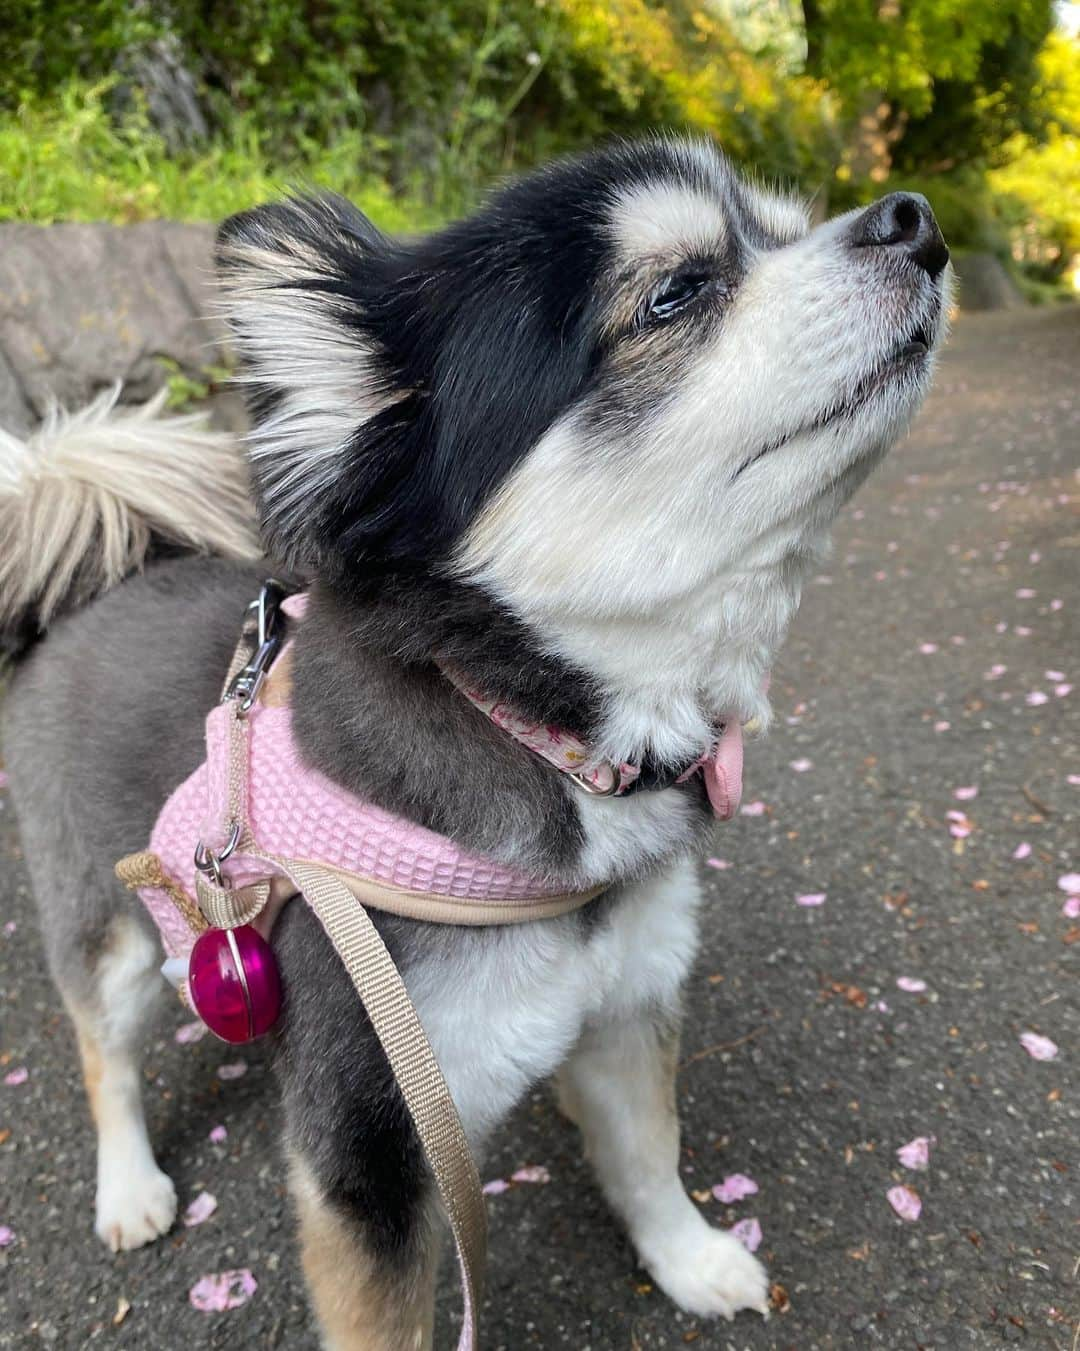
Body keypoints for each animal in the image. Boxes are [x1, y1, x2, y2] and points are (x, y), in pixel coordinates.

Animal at [0, 134, 946, 1340]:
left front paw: (690, 1259)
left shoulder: (626, 1011)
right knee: (102, 1054)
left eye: (785, 229)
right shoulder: (374, 1152)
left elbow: (649, 1159)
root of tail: (91, 581)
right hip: (104, 924)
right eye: (678, 292)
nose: (915, 219)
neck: (542, 735)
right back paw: (128, 1187)